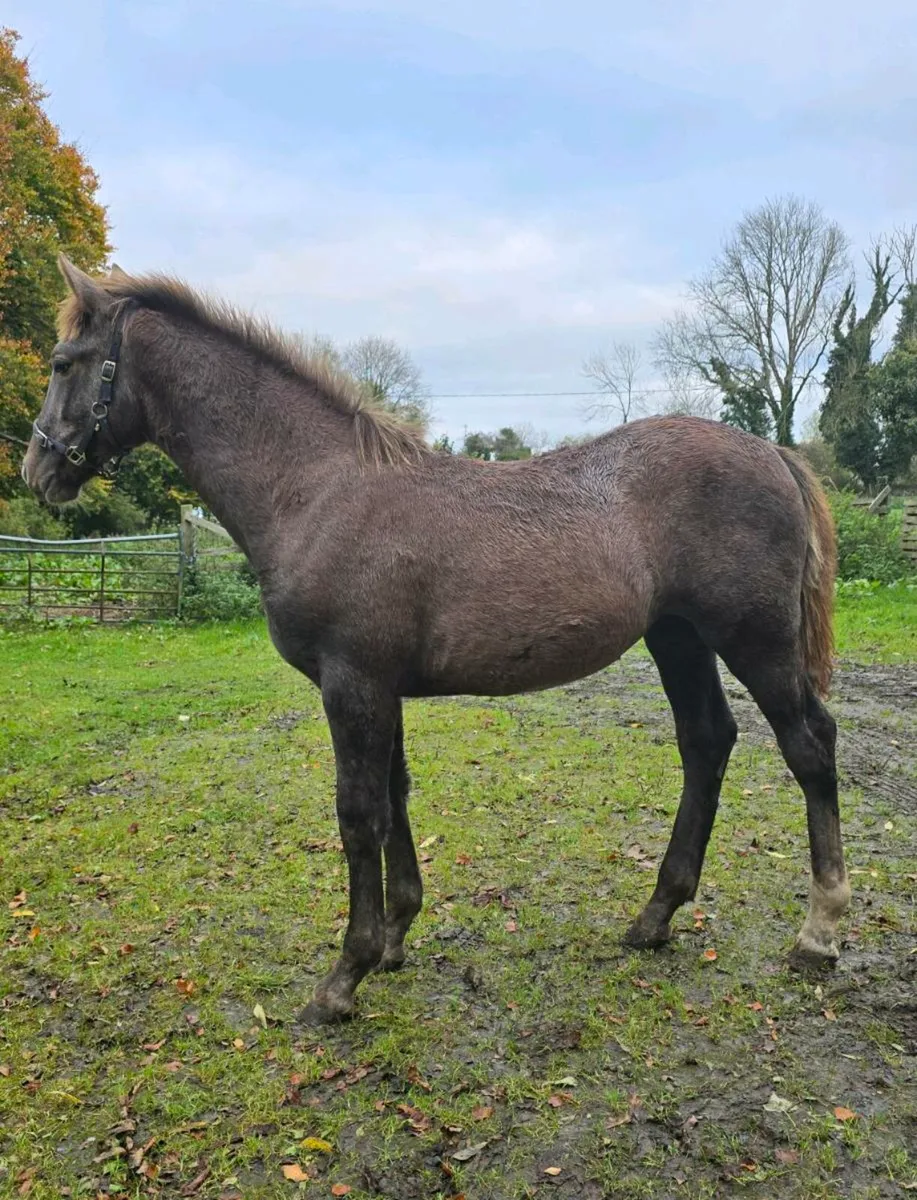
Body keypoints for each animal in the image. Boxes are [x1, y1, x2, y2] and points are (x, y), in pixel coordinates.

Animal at [22, 255, 849, 1025]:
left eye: (63, 362)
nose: (35, 469)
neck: (317, 489)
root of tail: (773, 453)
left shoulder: (352, 682)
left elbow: (358, 815)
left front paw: (342, 978)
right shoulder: (376, 686)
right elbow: (394, 797)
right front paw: (393, 939)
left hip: (753, 641)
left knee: (808, 745)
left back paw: (818, 932)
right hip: (677, 638)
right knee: (705, 742)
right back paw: (654, 916)